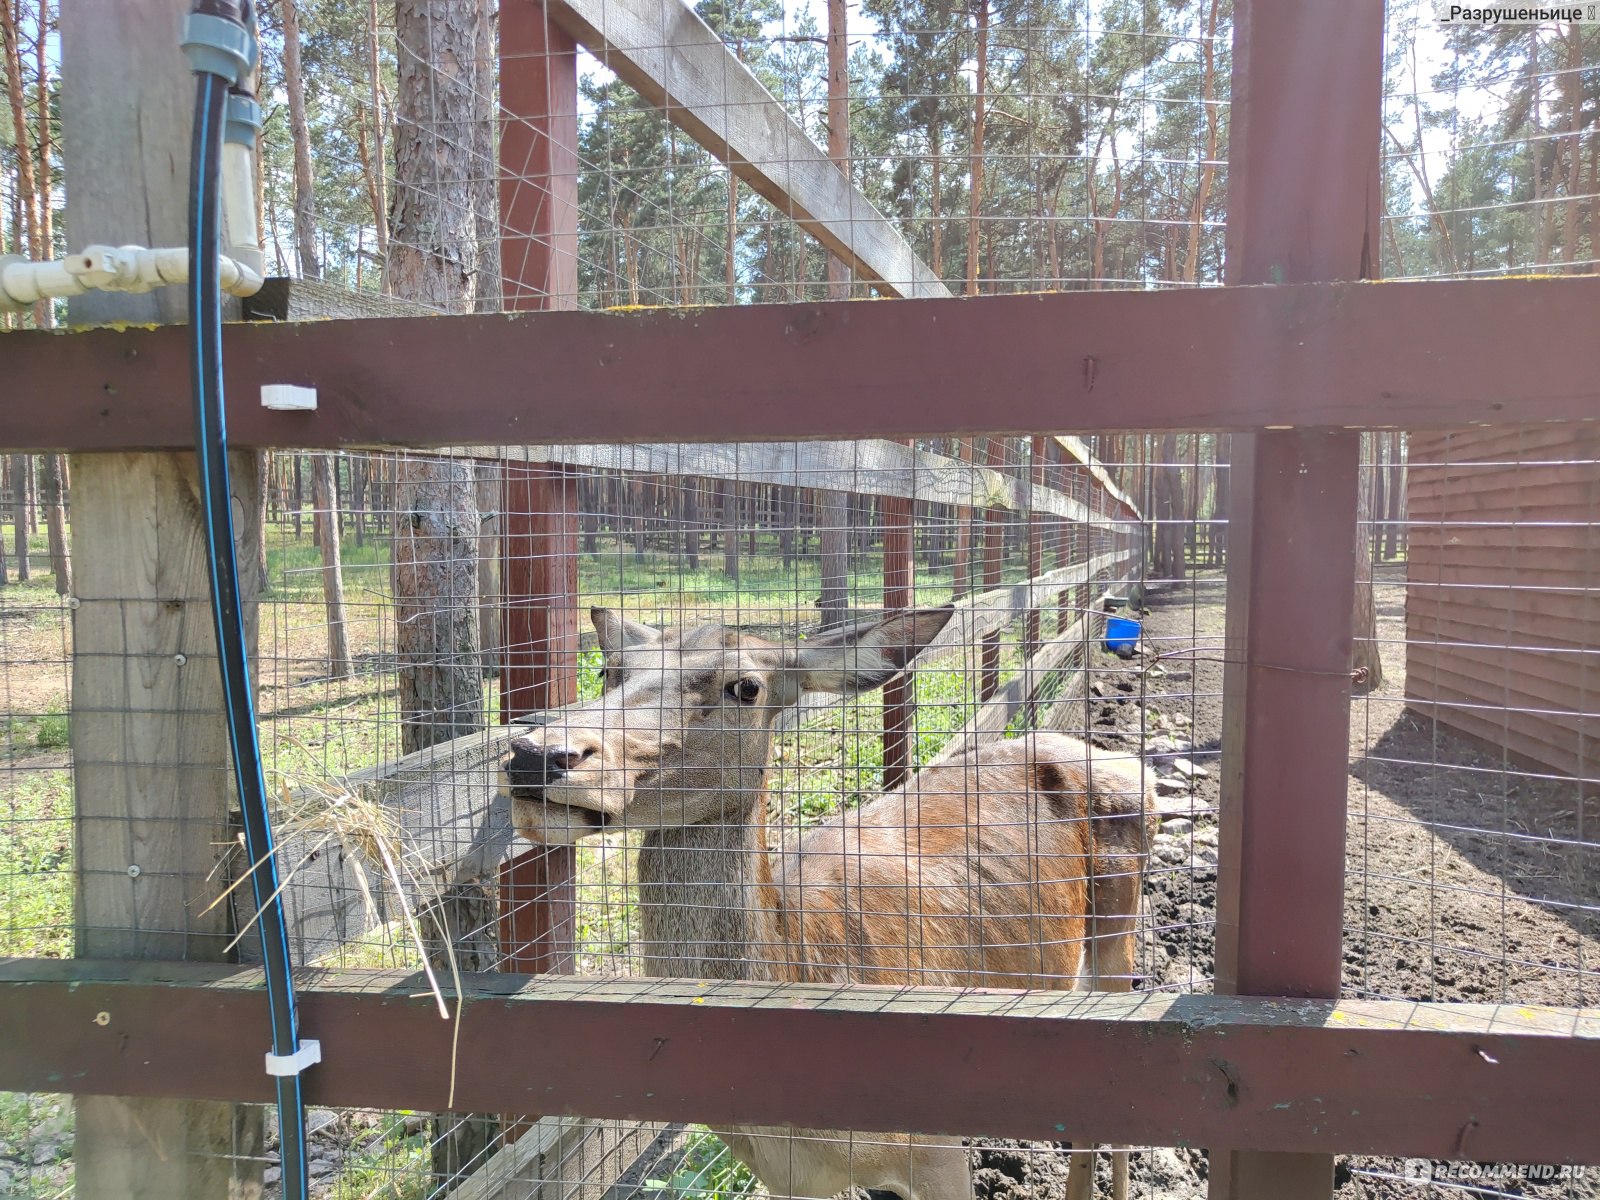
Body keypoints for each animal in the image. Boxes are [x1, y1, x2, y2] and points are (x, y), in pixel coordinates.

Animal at [499, 611, 1152, 1200]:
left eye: (746, 686)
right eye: (610, 670)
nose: (537, 753)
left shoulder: (937, 1149)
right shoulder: (794, 1181)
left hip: (1119, 923)